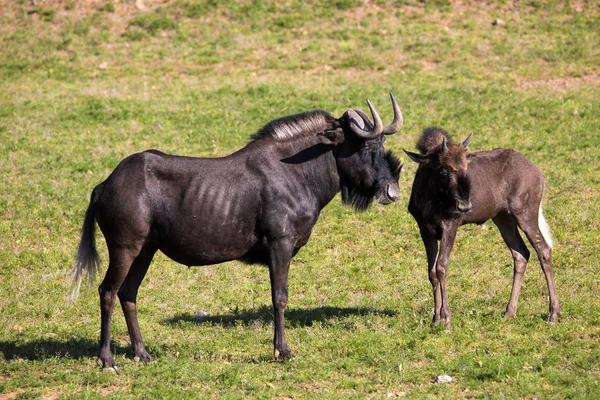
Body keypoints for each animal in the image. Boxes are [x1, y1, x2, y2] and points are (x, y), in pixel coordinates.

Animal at [406, 129, 560, 332]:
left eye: (465, 167)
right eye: (443, 168)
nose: (464, 206)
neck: (430, 200)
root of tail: (540, 176)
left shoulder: (450, 225)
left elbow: (441, 267)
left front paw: (446, 321)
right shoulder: (425, 229)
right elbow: (431, 272)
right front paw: (435, 320)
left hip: (525, 212)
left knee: (543, 249)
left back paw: (553, 314)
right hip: (503, 218)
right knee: (521, 253)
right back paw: (510, 312)